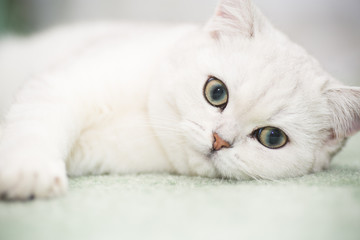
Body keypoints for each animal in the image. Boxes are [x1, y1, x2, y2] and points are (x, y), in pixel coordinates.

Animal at [0, 0, 360, 200]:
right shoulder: (62, 84)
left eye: (272, 138)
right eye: (216, 92)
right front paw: (29, 174)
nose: (219, 140)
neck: (143, 114)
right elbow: (33, 126)